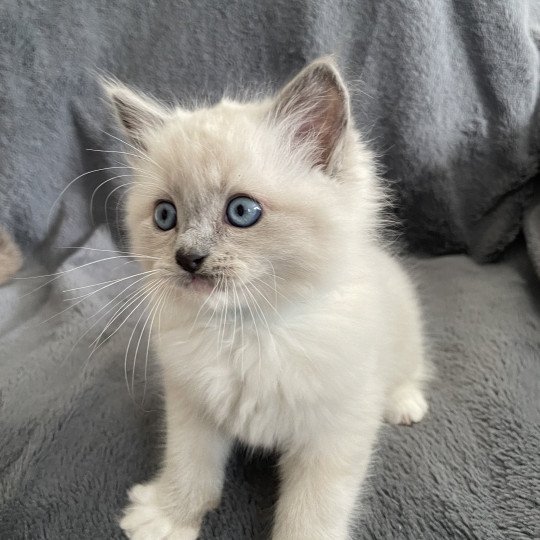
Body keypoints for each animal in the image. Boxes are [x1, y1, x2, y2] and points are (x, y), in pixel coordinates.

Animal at [107, 59, 428, 540]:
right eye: (165, 216)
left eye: (242, 212)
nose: (188, 258)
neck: (247, 330)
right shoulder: (191, 404)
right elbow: (188, 466)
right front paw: (168, 517)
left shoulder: (334, 434)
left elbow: (311, 515)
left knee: (412, 370)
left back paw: (405, 403)